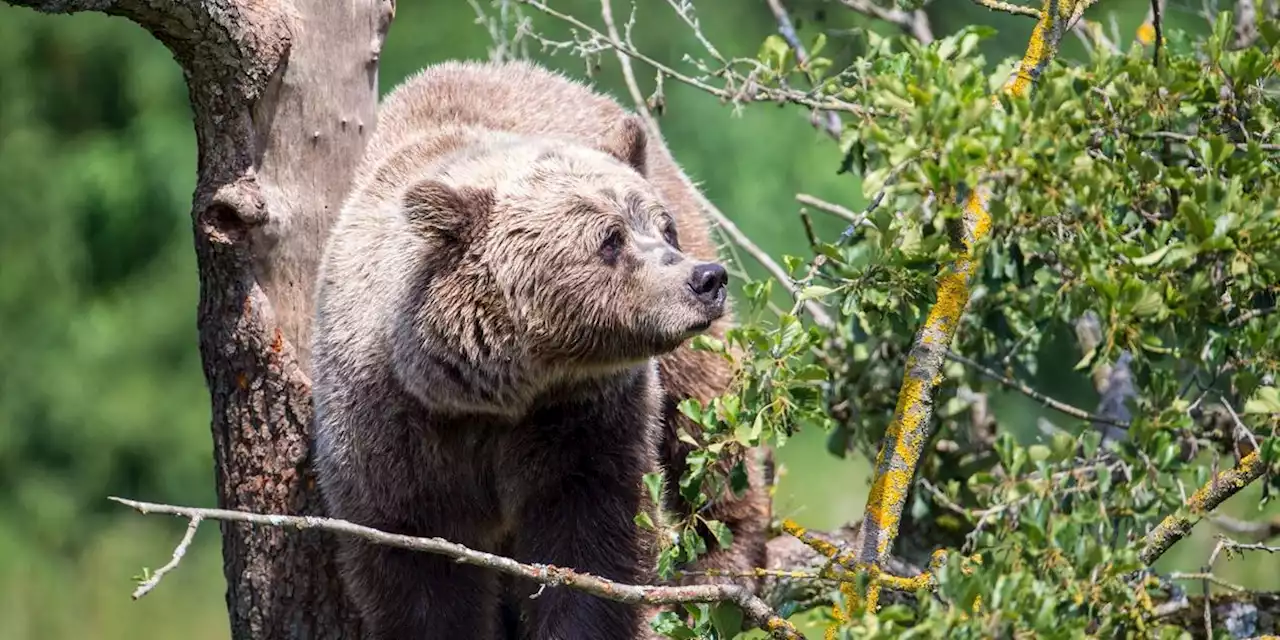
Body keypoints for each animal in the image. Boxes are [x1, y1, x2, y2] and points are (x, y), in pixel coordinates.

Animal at [312, 60, 768, 640]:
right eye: (610, 238)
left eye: (663, 229)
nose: (706, 279)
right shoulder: (392, 433)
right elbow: (416, 571)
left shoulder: (583, 420)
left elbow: (595, 544)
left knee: (705, 420)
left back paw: (723, 566)